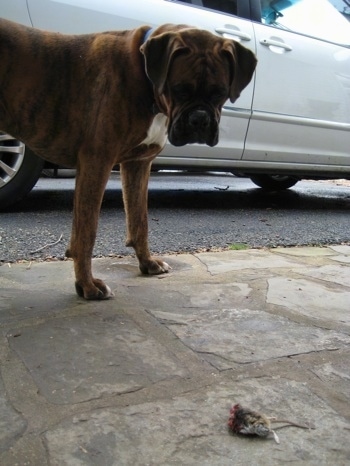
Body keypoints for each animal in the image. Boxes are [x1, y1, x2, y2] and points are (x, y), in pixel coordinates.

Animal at [0, 17, 258, 298]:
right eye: (179, 90)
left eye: (220, 93)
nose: (199, 119)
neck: (145, 78)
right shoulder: (96, 162)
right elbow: (87, 230)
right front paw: (87, 284)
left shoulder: (137, 165)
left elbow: (139, 220)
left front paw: (147, 262)